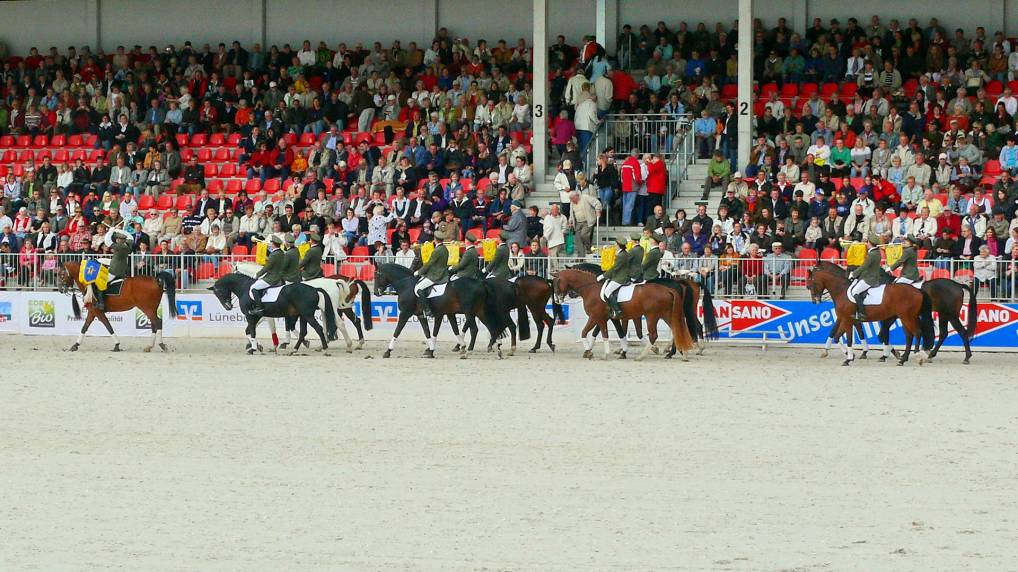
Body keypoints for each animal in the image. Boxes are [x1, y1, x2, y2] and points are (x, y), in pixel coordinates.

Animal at [209, 270, 337, 352]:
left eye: (218, 292)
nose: (228, 307)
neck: (245, 288)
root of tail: (315, 289)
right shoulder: (257, 317)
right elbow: (248, 331)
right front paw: (257, 346)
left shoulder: (250, 316)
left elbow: (252, 331)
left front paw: (253, 349)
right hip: (303, 315)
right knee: (303, 332)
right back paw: (295, 349)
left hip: (307, 315)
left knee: (318, 328)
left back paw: (324, 349)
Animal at [233, 259, 372, 350]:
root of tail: (341, 281)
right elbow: (290, 326)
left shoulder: (269, 314)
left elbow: (281, 327)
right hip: (339, 308)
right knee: (354, 321)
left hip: (338, 308)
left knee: (342, 323)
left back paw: (348, 344)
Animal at [374, 262, 509, 356]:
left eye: (377, 274)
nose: (376, 292)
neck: (406, 285)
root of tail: (480, 283)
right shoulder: (422, 315)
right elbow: (429, 332)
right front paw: (430, 350)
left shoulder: (405, 313)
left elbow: (397, 331)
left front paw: (388, 351)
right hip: (480, 312)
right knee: (491, 327)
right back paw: (497, 349)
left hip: (469, 312)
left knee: (475, 329)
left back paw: (470, 351)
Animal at [810, 260, 977, 362]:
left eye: (811, 283)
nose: (815, 300)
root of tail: (957, 284)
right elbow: (839, 332)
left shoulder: (880, 317)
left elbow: (879, 334)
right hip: (943, 314)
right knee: (943, 333)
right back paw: (931, 355)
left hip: (950, 315)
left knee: (961, 332)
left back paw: (966, 357)